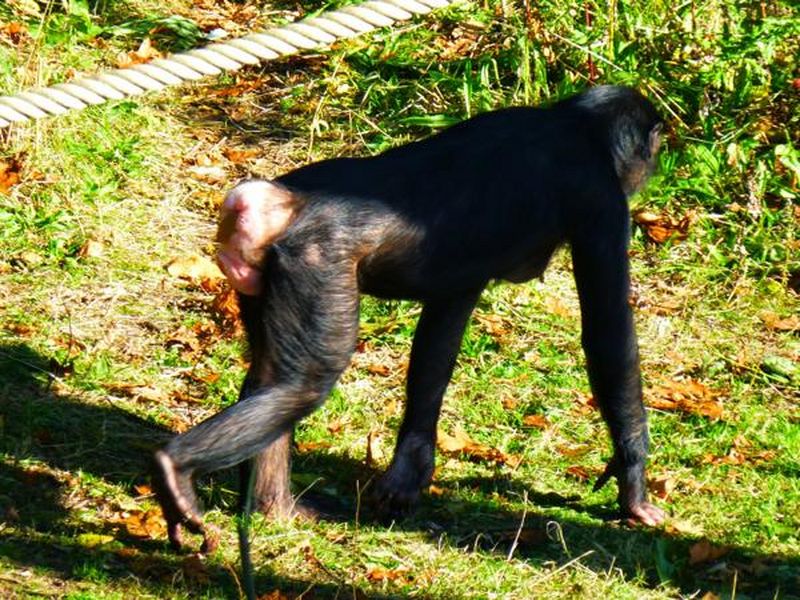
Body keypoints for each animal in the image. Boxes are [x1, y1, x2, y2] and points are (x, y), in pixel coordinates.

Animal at [153, 85, 664, 552]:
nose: (651, 165)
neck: (577, 127)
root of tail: (273, 203)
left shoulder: (460, 281)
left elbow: (439, 342)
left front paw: (407, 474)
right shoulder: (602, 204)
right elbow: (607, 330)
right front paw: (633, 481)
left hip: (255, 280)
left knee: (269, 377)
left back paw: (275, 508)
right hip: (316, 263)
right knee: (305, 382)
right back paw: (175, 472)